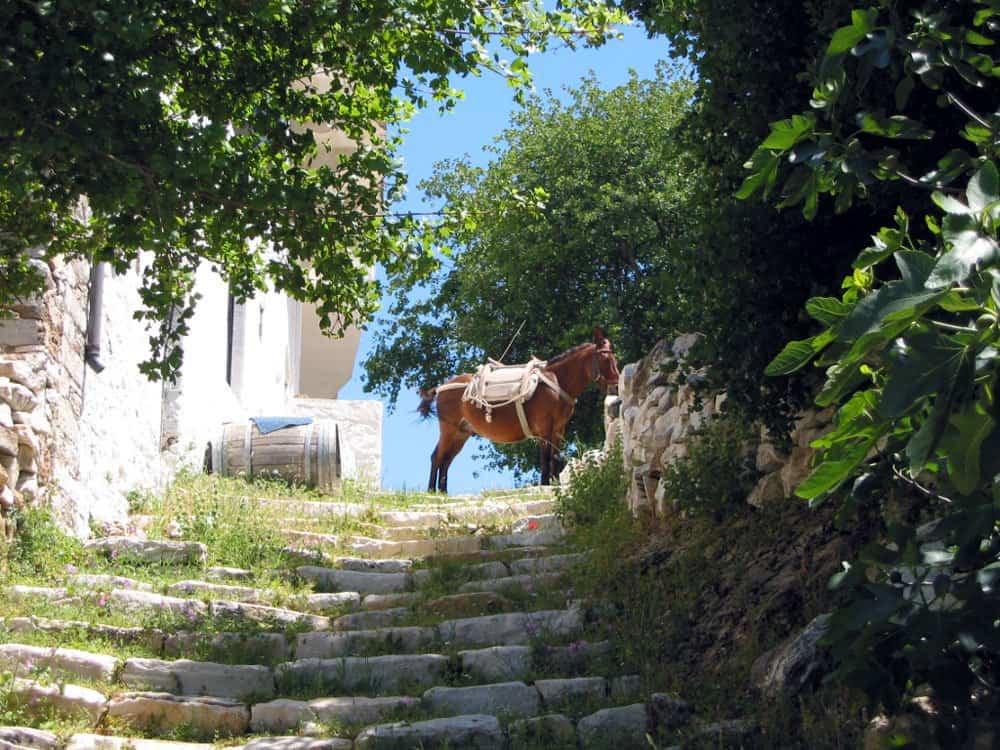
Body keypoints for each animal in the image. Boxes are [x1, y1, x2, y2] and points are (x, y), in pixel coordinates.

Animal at [417, 327, 620, 493]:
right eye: (605, 357)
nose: (617, 385)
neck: (556, 382)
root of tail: (442, 387)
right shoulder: (545, 429)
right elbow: (545, 457)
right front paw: (545, 484)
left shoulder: (559, 429)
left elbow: (555, 456)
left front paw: (555, 483)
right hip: (449, 430)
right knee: (437, 457)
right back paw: (432, 492)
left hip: (461, 433)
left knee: (446, 460)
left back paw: (443, 492)